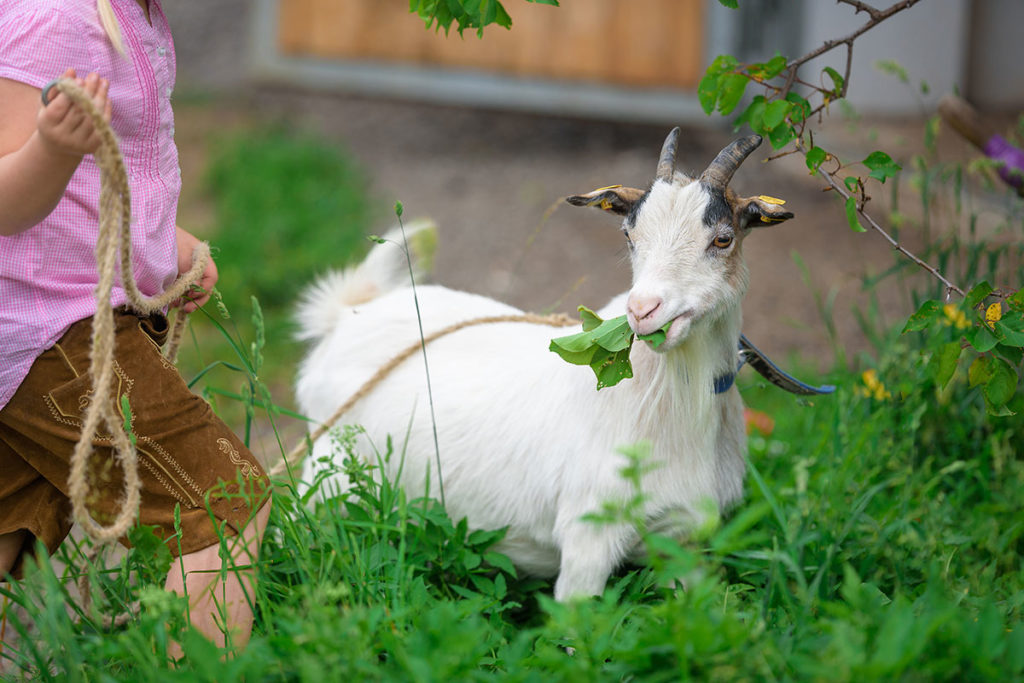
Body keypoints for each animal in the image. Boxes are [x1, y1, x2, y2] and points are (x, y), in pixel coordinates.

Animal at [294, 131, 790, 602]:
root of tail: (348, 314)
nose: (643, 310)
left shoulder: (685, 544)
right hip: (326, 474)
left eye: (723, 238)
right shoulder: (588, 534)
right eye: (629, 236)